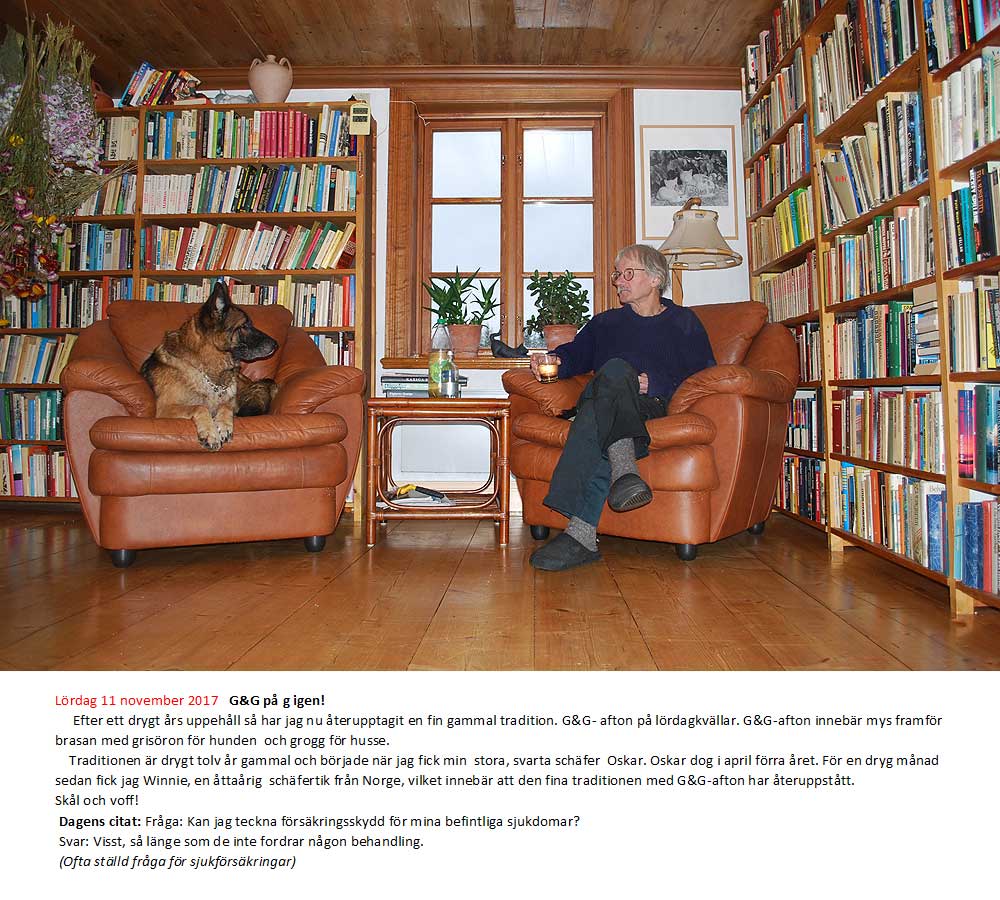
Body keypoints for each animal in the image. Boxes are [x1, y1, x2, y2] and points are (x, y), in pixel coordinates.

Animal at [140, 282, 279, 451]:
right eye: (244, 326)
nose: (276, 344)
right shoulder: (165, 408)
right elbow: (200, 407)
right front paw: (210, 433)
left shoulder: (232, 403)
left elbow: (225, 406)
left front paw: (224, 425)